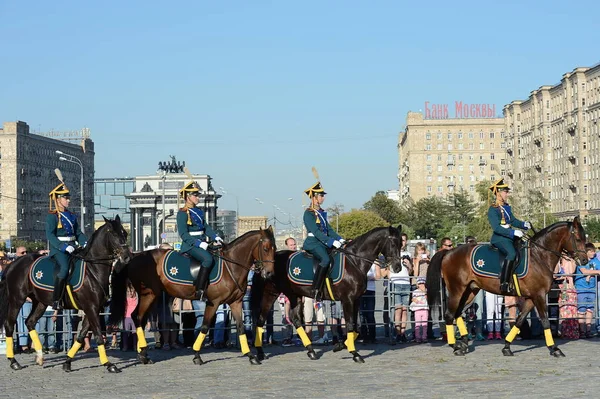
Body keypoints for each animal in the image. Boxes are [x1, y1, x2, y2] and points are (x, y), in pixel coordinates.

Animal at [0, 217, 131, 374]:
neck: (92, 269)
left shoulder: (94, 309)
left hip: (41, 302)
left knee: (30, 322)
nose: (127, 257)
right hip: (17, 299)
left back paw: (39, 356)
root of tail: (13, 264)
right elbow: (98, 335)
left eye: (125, 233)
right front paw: (109, 364)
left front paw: (67, 362)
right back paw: (14, 361)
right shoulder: (91, 308)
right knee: (9, 325)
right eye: (114, 234)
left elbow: (81, 336)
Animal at [109, 227, 276, 368]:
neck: (231, 266)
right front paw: (197, 355)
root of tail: (135, 256)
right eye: (265, 248)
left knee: (138, 318)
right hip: (148, 295)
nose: (269, 273)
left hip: (151, 296)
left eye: (274, 248)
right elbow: (205, 326)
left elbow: (241, 327)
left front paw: (250, 356)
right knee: (137, 317)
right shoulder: (213, 302)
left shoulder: (235, 302)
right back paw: (143, 354)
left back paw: (142, 354)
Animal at [251, 227, 400, 364]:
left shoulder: (356, 300)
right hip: (278, 294)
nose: (397, 267)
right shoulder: (348, 300)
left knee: (285, 319)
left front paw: (341, 344)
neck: (354, 261)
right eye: (393, 243)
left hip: (286, 294)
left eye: (400, 243)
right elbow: (350, 324)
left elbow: (355, 326)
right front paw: (354, 353)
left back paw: (308, 351)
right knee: (267, 319)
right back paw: (261, 352)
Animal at [428, 219, 588, 360]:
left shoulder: (531, 298)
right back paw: (455, 346)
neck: (539, 255)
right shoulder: (539, 296)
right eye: (578, 238)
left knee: (458, 313)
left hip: (469, 291)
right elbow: (545, 321)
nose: (585, 260)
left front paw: (506, 347)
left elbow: (519, 321)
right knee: (449, 315)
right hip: (457, 290)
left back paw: (464, 343)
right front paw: (555, 349)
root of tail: (448, 252)